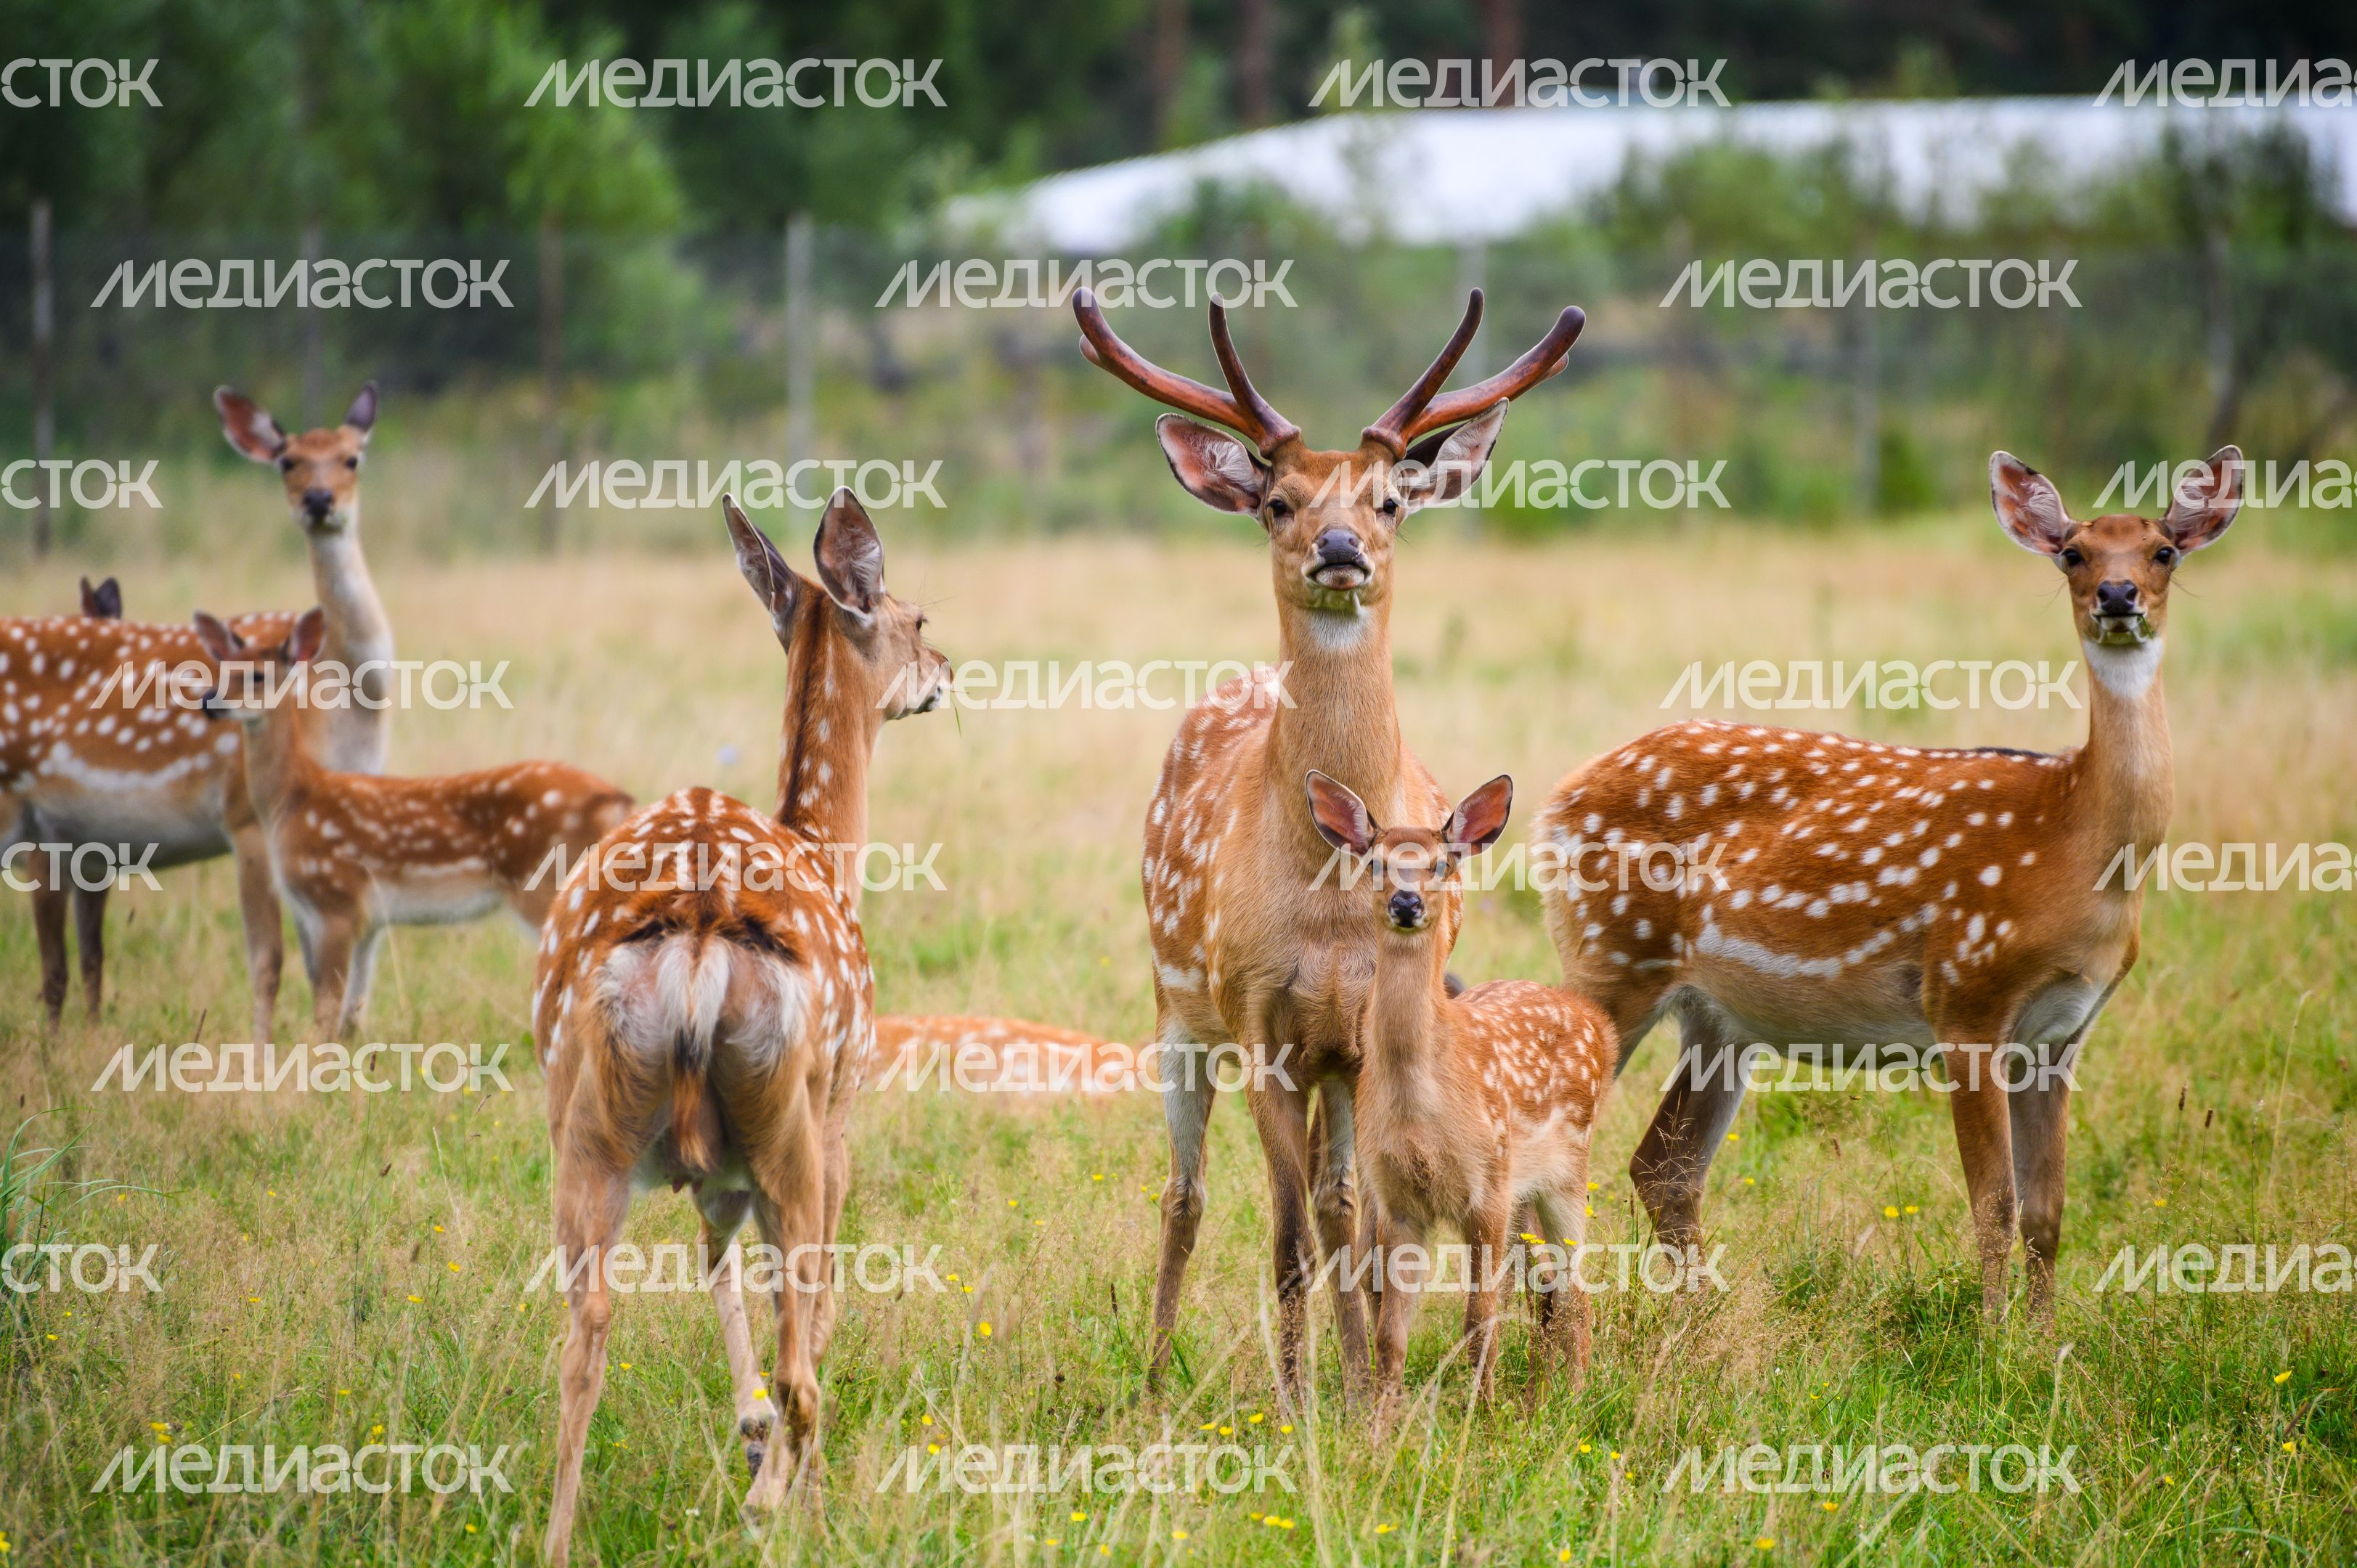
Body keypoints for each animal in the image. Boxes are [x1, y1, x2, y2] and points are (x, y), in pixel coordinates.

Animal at [190, 607, 632, 1039]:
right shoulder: (365, 920)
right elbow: (348, 1017)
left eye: (256, 675)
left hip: (546, 884)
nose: (210, 702)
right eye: (220, 668)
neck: (292, 802)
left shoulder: (335, 898)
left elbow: (326, 1012)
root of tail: (617, 799)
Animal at [534, 491, 949, 1566]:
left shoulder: (714, 1175)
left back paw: (560, 1536)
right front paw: (774, 1476)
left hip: (584, 1128)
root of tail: (700, 932)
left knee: (585, 1333)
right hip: (787, 1118)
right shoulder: (840, 1116)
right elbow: (813, 1305)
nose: (947, 670)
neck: (825, 848)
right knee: (805, 1352)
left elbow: (714, 1268)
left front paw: (750, 1432)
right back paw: (794, 1511)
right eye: (917, 617)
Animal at [1073, 284, 1586, 1404]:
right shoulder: (1257, 1016)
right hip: (1177, 1010)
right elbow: (1289, 1233)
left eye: (1389, 500)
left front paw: (1359, 1388)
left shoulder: (1351, 1043)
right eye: (1279, 501)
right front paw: (1299, 1398)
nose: (1341, 546)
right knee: (1184, 1196)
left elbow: (1349, 1214)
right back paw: (1154, 1372)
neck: (1321, 889)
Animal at [1305, 770, 1616, 1417]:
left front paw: (1484, 1415)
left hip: (1566, 1171)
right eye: (1375, 862)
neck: (1422, 1107)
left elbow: (1480, 1317)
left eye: (1443, 862)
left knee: (1576, 1290)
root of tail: (1599, 1025)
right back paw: (1542, 1395)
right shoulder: (1397, 1197)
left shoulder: (1486, 1189)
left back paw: (1574, 1398)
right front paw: (1381, 1421)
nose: (1406, 903)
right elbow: (1390, 1331)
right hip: (1525, 1193)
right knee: (1549, 1288)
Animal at [1533, 448, 2245, 1325]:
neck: (2076, 845)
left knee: (1664, 1164)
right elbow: (1994, 1202)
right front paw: (1992, 1337)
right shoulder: (1966, 997)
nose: (2118, 597)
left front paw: (2047, 1338)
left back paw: (1703, 1322)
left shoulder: (2064, 1033)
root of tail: (1555, 801)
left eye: (2163, 552)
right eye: (2073, 553)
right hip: (1612, 957)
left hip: (1720, 1018)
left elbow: (2048, 1210)